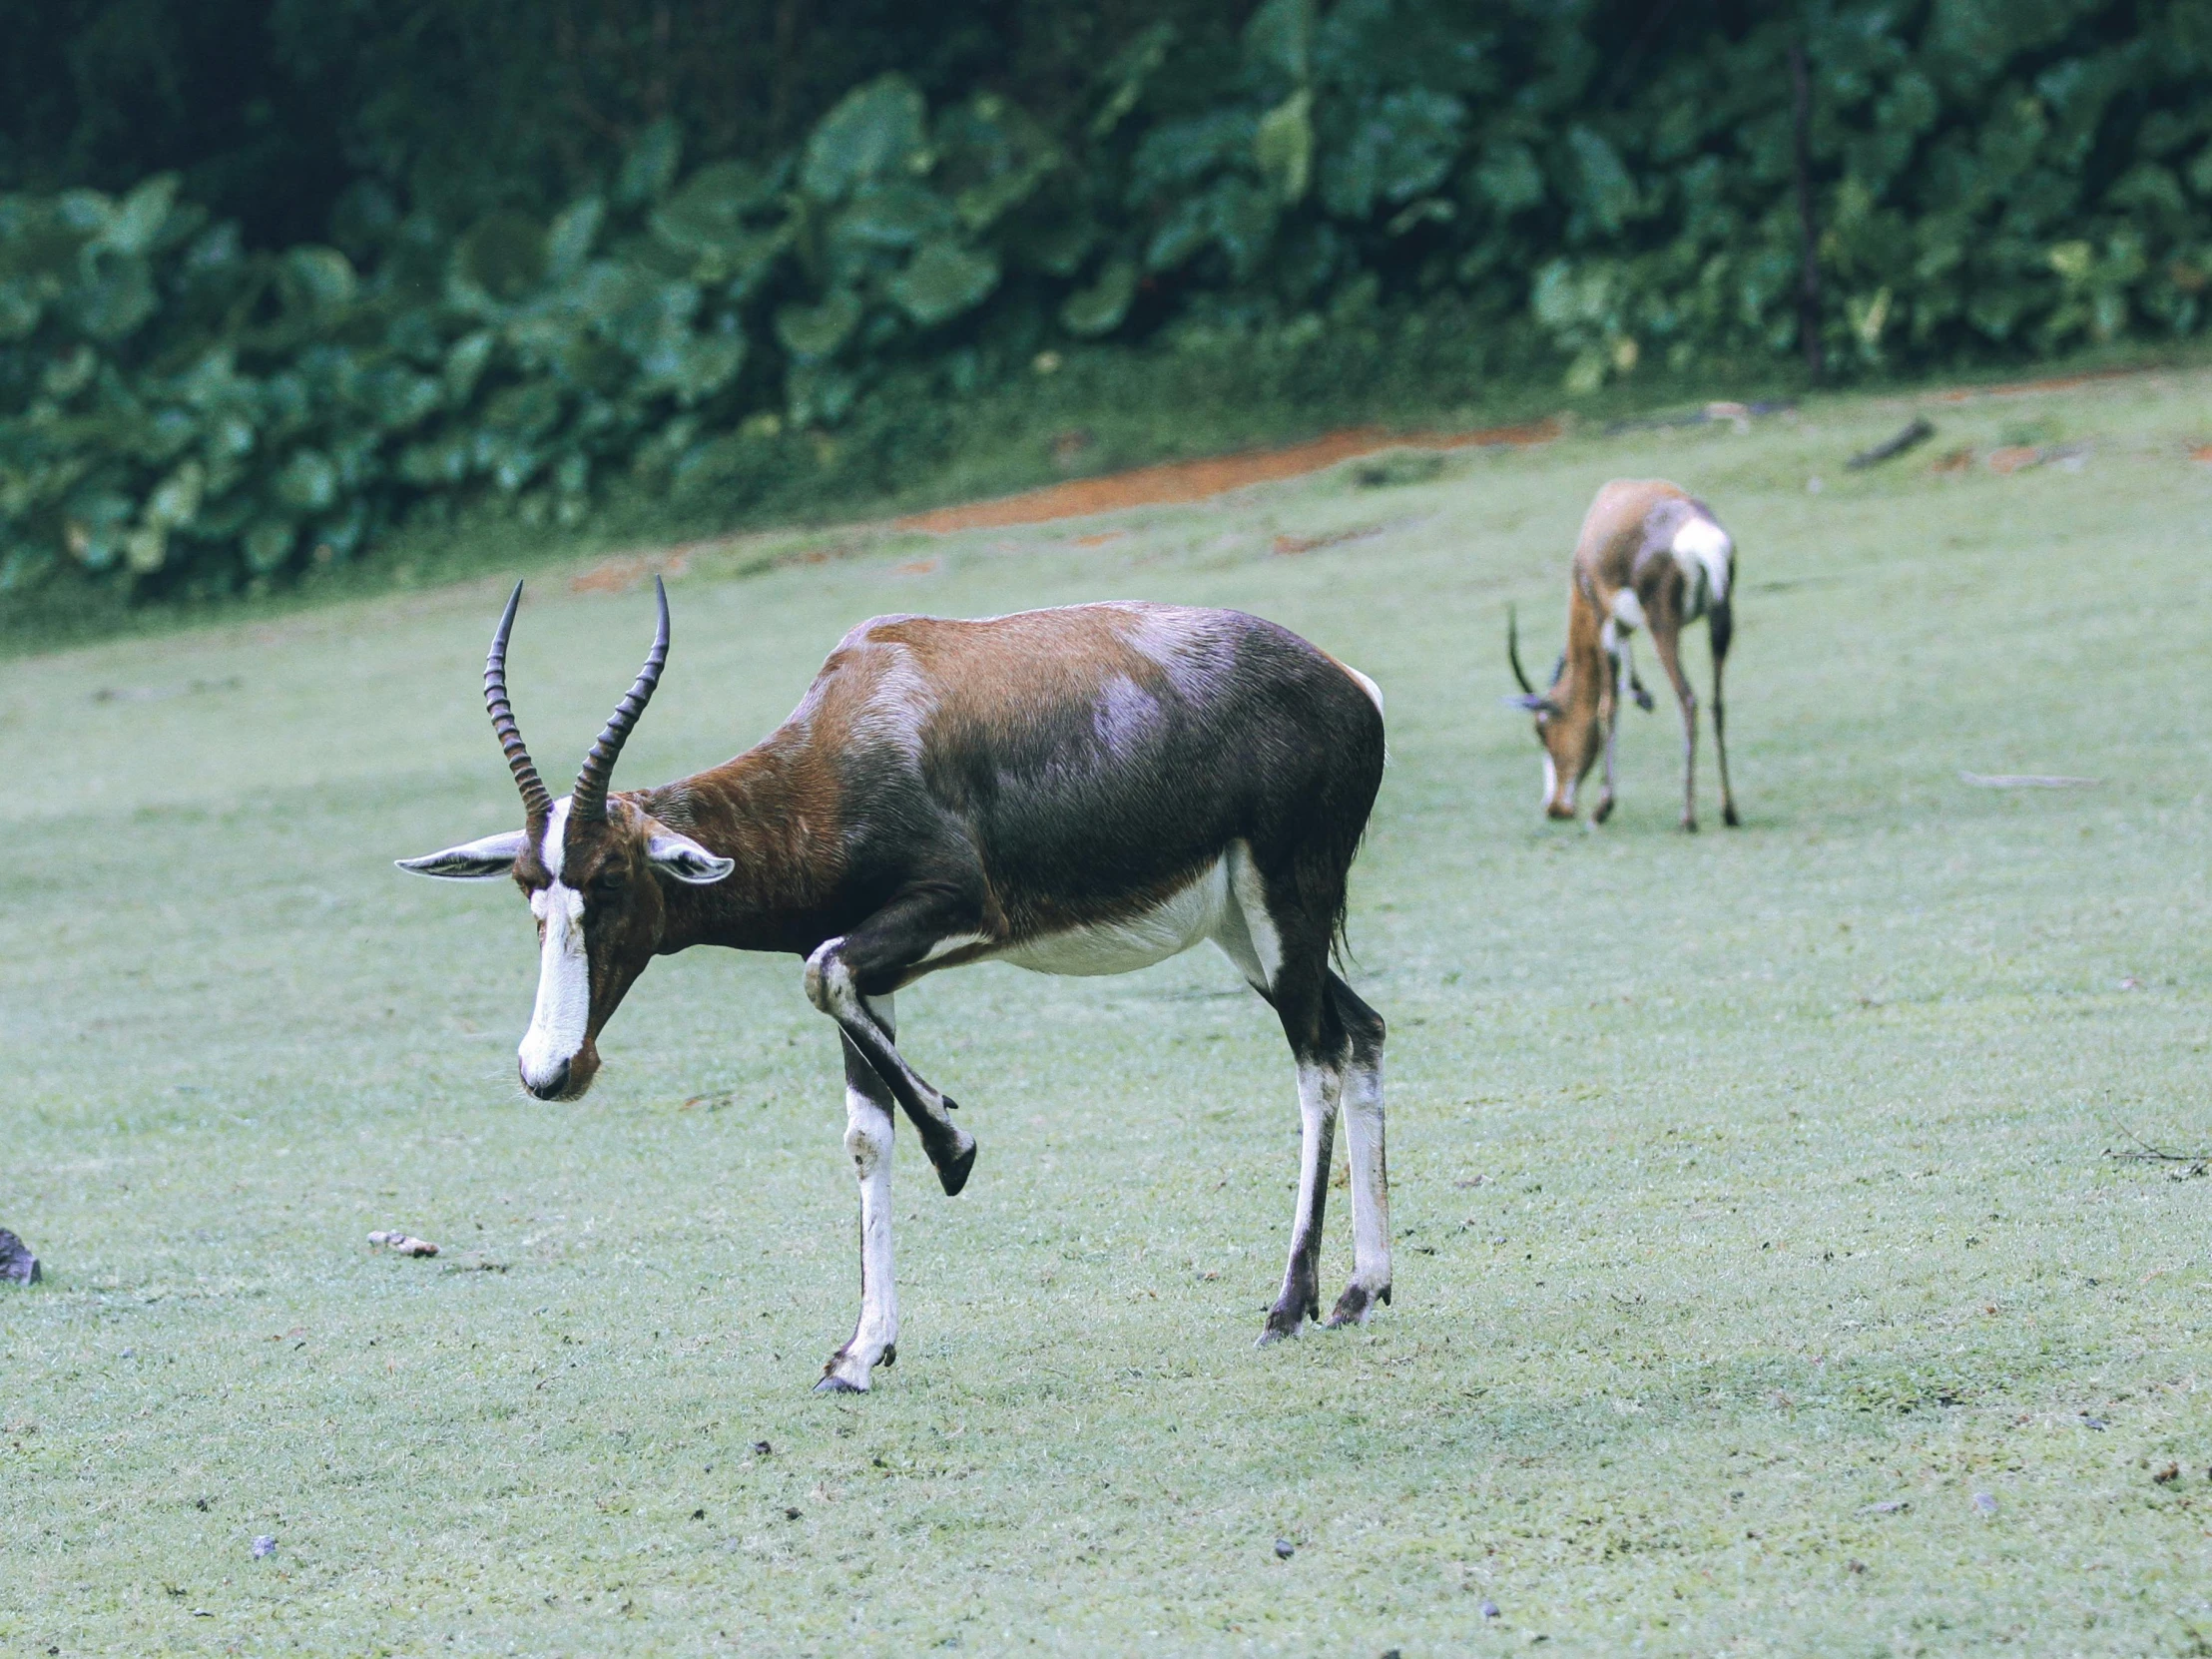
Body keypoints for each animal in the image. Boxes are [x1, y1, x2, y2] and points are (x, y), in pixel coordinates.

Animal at [406, 579, 1388, 1388]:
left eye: (608, 880)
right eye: (528, 888)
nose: (550, 1069)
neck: (852, 727)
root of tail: (1349, 684)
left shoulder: (952, 912)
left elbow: (820, 977)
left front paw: (955, 1148)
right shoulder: (874, 967)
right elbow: (864, 1132)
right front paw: (858, 1353)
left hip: (1282, 907)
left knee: (1315, 1058)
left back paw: (1287, 1307)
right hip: (1243, 935)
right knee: (1362, 1031)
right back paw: (1360, 1291)